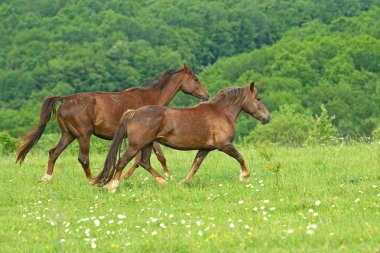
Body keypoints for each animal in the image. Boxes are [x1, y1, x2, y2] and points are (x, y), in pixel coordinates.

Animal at [16, 63, 209, 182]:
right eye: (196, 79)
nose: (206, 95)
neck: (149, 98)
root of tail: (65, 99)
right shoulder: (147, 137)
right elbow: (151, 157)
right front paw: (165, 175)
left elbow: (144, 159)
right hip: (83, 135)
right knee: (83, 158)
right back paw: (93, 180)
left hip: (68, 135)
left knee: (53, 152)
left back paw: (47, 178)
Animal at [92, 82, 270, 193]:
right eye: (258, 98)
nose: (267, 118)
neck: (221, 112)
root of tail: (133, 112)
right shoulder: (224, 145)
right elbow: (240, 157)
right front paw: (245, 176)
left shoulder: (205, 148)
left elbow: (195, 165)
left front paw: (183, 183)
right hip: (136, 146)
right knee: (123, 161)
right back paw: (113, 187)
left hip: (147, 144)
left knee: (144, 162)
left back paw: (163, 182)